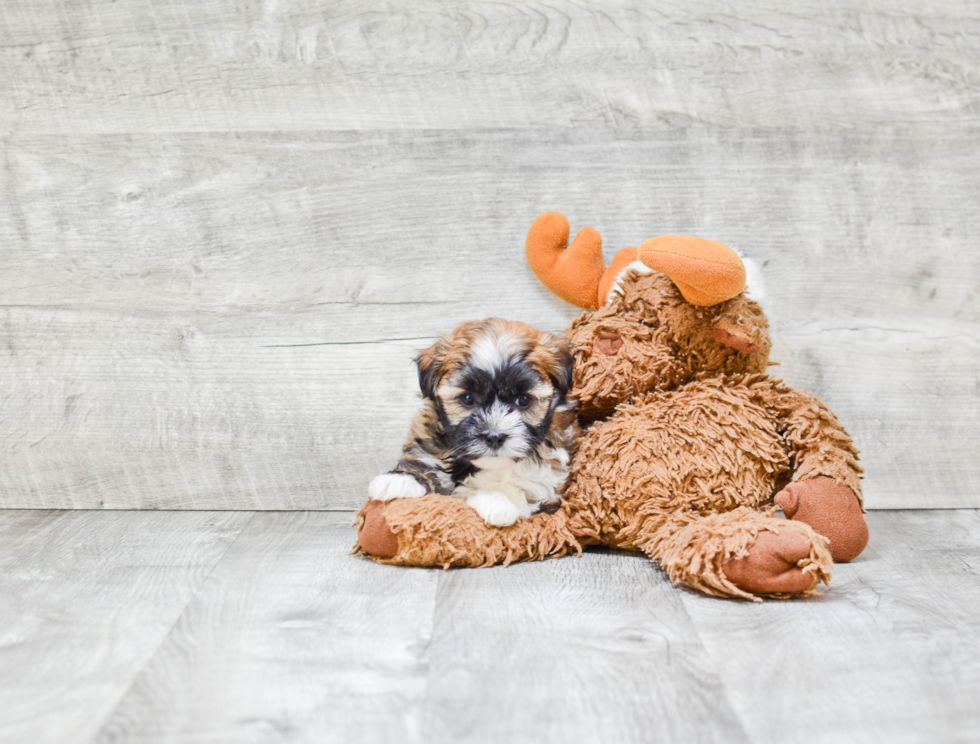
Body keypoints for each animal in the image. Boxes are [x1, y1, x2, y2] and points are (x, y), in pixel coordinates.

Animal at [370, 316, 580, 528]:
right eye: (468, 398)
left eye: (523, 400)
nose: (494, 437)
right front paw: (400, 480)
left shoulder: (549, 487)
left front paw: (497, 501)